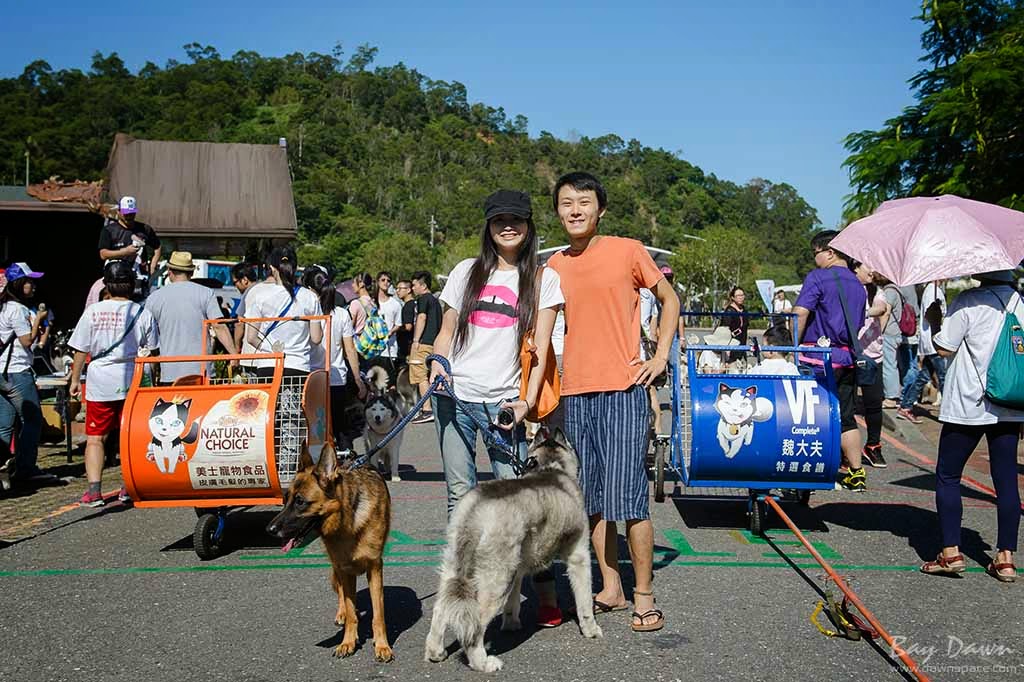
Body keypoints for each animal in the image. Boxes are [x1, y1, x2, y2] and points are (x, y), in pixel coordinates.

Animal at [421, 428, 598, 671]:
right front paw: (592, 630)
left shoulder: (519, 568)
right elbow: (585, 599)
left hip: (456, 568)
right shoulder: (579, 556)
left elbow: (513, 600)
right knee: (475, 621)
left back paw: (435, 651)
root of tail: (476, 510)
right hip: (497, 578)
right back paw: (482, 663)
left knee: (440, 608)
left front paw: (511, 623)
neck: (550, 467)